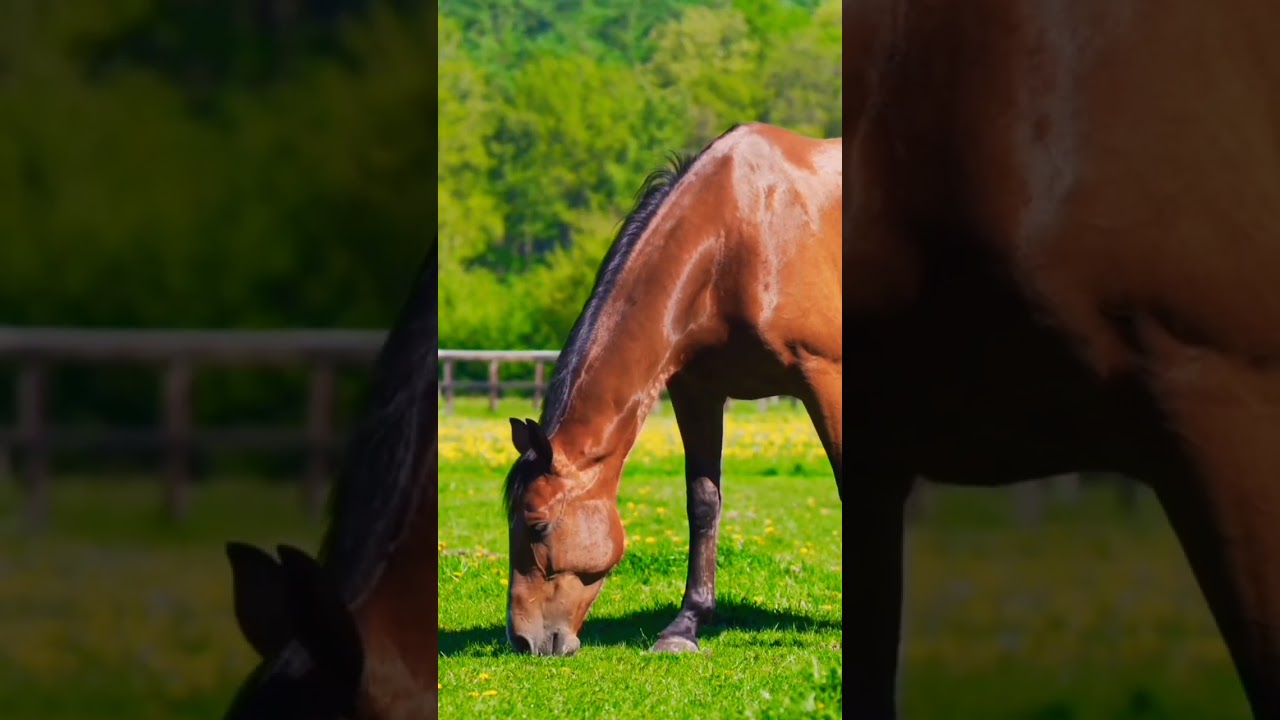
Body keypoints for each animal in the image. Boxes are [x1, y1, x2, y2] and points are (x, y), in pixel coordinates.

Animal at [501, 122, 842, 658]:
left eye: (536, 524)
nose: (521, 639)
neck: (739, 235)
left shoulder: (824, 376)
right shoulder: (696, 391)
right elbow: (702, 502)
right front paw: (685, 625)